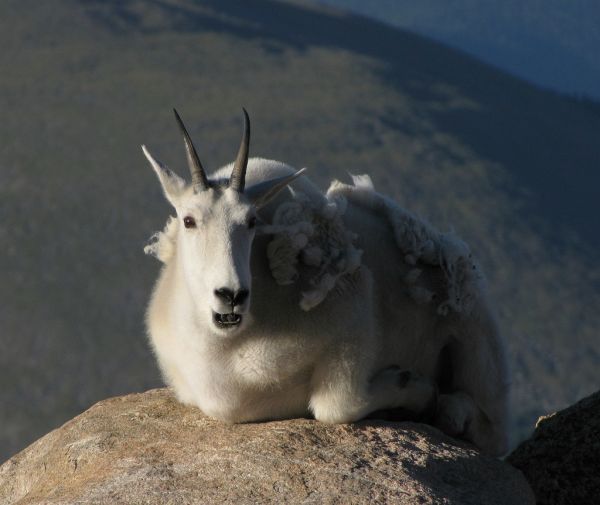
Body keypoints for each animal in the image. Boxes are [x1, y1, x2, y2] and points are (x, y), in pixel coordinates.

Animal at [143, 108, 508, 454]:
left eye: (251, 221)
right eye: (188, 220)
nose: (231, 295)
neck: (225, 349)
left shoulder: (354, 316)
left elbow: (336, 406)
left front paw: (414, 385)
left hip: (475, 336)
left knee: (491, 430)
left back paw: (449, 408)